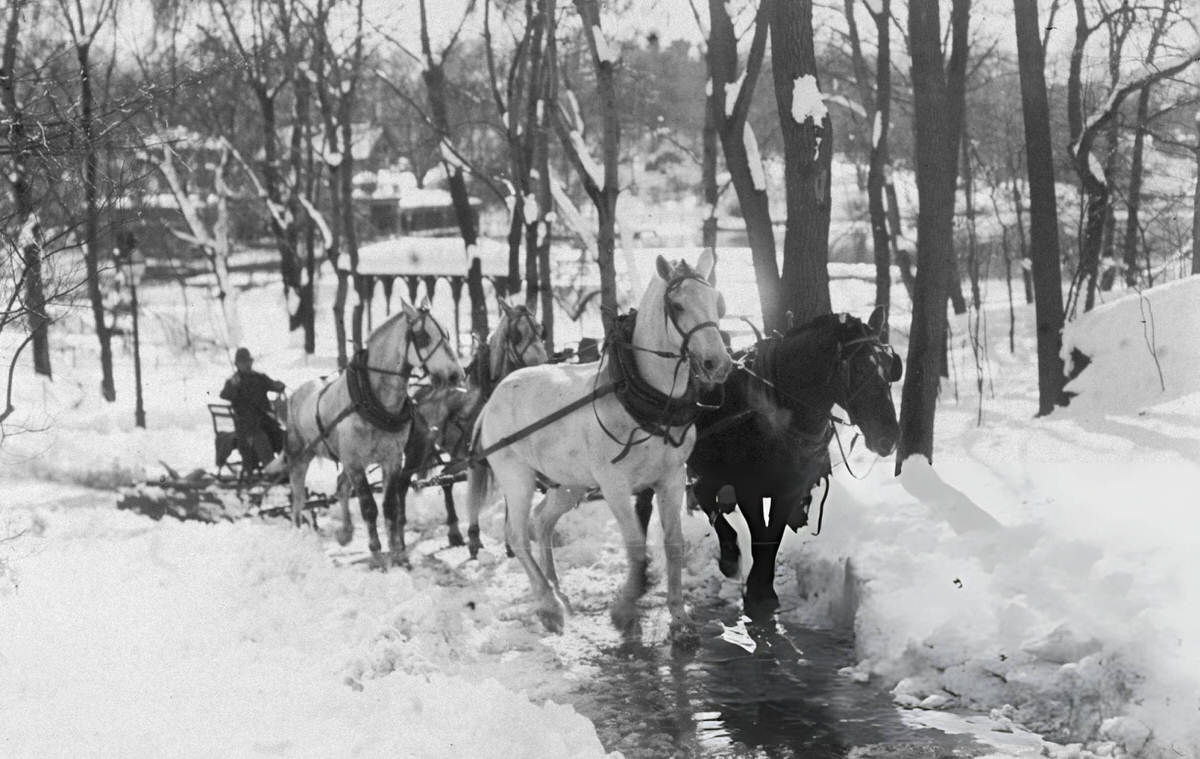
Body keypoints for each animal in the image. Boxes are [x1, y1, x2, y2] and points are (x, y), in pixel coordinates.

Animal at [285, 298, 464, 568]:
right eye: (424, 337)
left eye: (447, 334)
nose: (456, 375)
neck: (374, 401)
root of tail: (295, 394)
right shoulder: (354, 462)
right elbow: (369, 507)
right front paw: (378, 554)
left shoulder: (391, 459)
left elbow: (390, 506)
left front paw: (398, 553)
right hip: (301, 456)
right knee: (297, 496)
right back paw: (299, 534)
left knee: (341, 487)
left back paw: (346, 533)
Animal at [394, 299, 550, 548]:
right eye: (516, 334)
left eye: (540, 330)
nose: (541, 365)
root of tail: (419, 394)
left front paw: (508, 545)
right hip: (417, 452)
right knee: (402, 483)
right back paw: (400, 530)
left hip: (457, 456)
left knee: (446, 479)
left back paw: (454, 531)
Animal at [465, 252, 733, 640]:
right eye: (678, 306)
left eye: (717, 302)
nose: (719, 363)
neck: (642, 397)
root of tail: (495, 396)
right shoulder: (615, 485)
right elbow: (636, 549)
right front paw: (625, 609)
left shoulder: (671, 477)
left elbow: (674, 545)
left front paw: (679, 617)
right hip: (516, 476)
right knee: (516, 534)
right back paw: (548, 605)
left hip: (568, 483)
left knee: (542, 522)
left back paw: (558, 591)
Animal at [636, 311, 901, 619]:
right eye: (858, 368)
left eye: (890, 367)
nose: (889, 436)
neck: (777, 412)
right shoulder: (748, 488)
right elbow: (760, 535)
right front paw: (757, 590)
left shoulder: (791, 489)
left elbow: (773, 536)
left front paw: (763, 588)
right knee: (653, 503)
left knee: (704, 494)